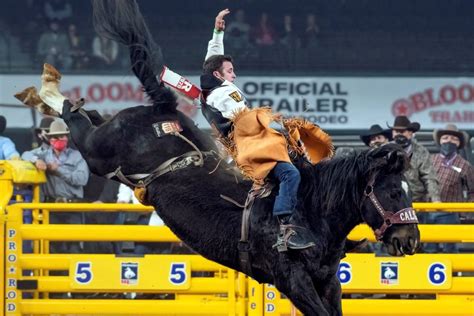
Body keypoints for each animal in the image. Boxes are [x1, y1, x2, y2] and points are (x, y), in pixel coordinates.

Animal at [15, 1, 418, 314]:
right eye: (392, 192)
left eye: (408, 190)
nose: (411, 240)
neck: (312, 208)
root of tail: (165, 110)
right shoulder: (293, 280)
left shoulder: (328, 281)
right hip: (101, 153)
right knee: (74, 118)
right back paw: (45, 90)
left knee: (88, 115)